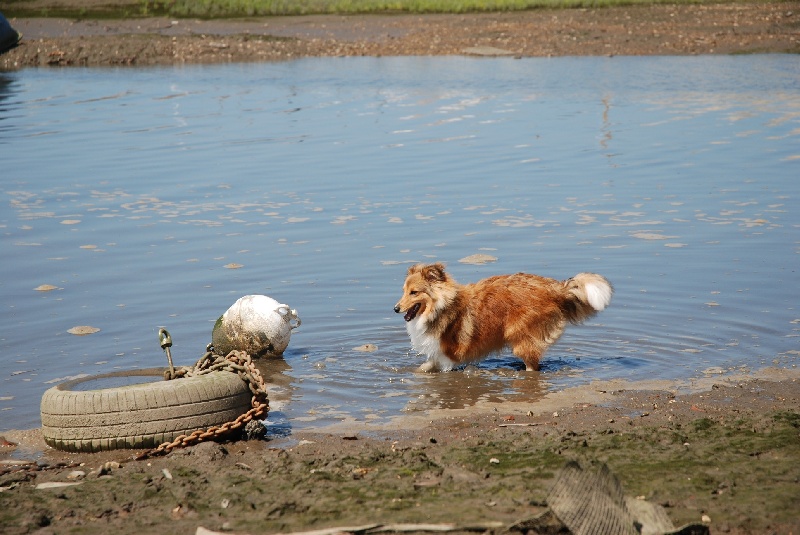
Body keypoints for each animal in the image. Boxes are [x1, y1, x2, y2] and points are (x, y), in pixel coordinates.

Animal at [394, 264, 612, 372]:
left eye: (414, 292)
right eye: (403, 291)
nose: (396, 309)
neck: (441, 307)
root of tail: (556, 288)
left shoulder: (447, 356)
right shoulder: (435, 356)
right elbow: (423, 368)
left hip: (522, 339)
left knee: (533, 366)